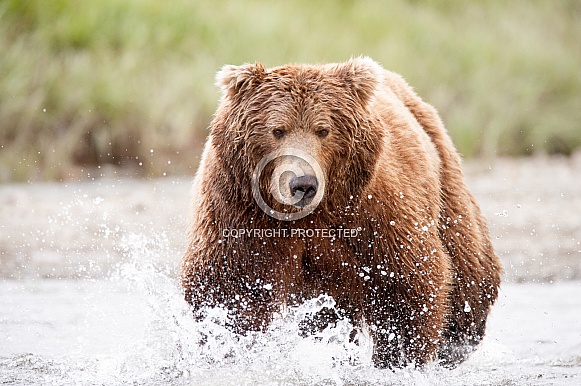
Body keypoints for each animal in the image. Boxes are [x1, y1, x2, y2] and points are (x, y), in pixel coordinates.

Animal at [180, 56, 498, 368]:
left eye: (323, 129)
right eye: (277, 129)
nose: (303, 183)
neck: (309, 215)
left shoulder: (372, 212)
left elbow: (407, 281)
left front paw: (398, 357)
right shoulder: (238, 209)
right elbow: (230, 285)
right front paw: (227, 344)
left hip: (443, 175)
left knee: (467, 263)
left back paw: (457, 340)